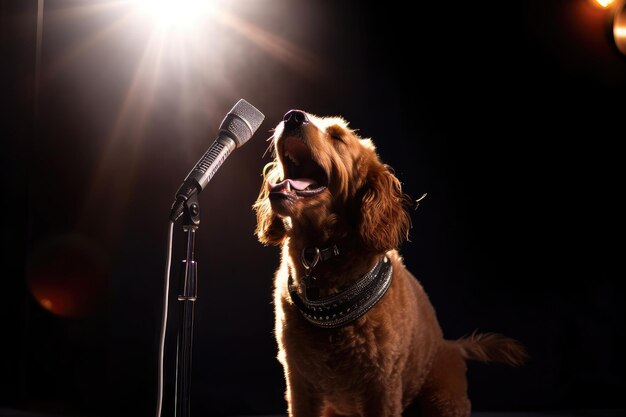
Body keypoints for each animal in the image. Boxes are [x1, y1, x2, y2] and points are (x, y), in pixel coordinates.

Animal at [251, 109, 524, 414]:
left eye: (337, 137)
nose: (293, 117)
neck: (321, 255)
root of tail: (452, 346)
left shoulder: (381, 385)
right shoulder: (300, 386)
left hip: (441, 399)